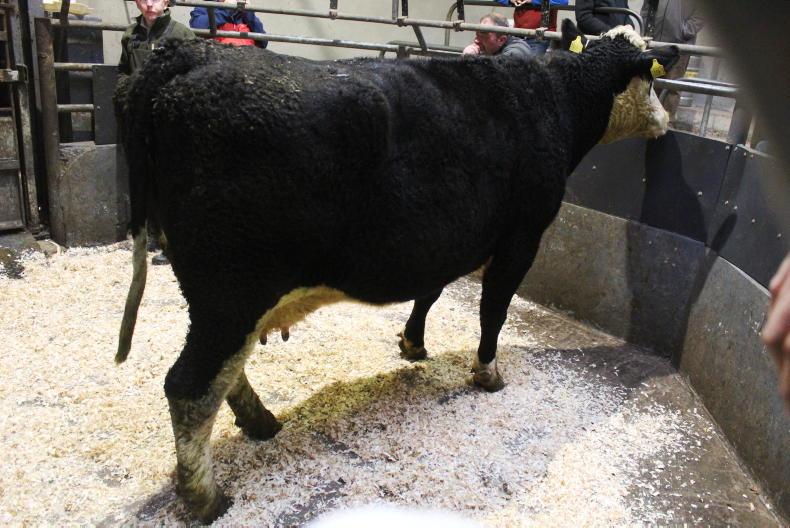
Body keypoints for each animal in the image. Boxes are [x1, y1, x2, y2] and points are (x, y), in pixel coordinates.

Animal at [114, 20, 678, 522]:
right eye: (652, 75)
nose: (665, 120)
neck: (552, 100)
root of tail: (193, 54)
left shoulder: (444, 239)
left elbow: (430, 292)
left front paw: (413, 343)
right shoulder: (521, 237)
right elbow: (493, 311)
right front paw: (488, 374)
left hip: (217, 297)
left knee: (223, 374)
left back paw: (261, 423)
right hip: (232, 289)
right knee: (189, 387)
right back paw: (206, 498)